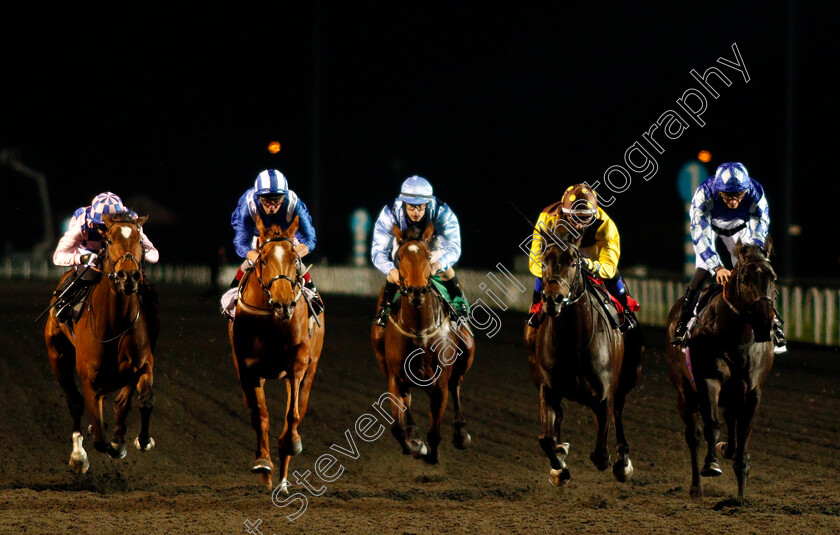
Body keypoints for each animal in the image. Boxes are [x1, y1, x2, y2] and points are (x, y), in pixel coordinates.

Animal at [44, 213, 159, 474]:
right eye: (108, 240)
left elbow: (141, 401)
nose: (129, 276)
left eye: (139, 240)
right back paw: (78, 455)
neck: (115, 324)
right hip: (58, 356)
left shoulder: (143, 363)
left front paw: (140, 440)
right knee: (75, 402)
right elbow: (98, 438)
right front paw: (102, 441)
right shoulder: (89, 379)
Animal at [226, 216, 324, 492]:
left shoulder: (298, 363)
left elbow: (293, 414)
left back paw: (283, 479)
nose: (284, 305)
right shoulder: (248, 369)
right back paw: (270, 477)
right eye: (263, 259)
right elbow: (260, 416)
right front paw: (263, 463)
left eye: (294, 259)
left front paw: (291, 443)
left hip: (309, 372)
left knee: (298, 408)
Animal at [370, 222, 476, 464]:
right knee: (407, 399)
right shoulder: (395, 377)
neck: (420, 331)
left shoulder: (440, 384)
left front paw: (432, 452)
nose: (416, 291)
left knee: (456, 384)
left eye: (428, 255)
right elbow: (397, 425)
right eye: (400, 256)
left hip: (467, 352)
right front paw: (414, 443)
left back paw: (461, 434)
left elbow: (435, 430)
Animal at [524, 232, 644, 488]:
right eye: (545, 261)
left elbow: (600, 454)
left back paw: (623, 462)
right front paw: (559, 462)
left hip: (629, 376)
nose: (553, 299)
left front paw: (618, 463)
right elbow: (545, 439)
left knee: (618, 411)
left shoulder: (604, 394)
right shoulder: (548, 387)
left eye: (573, 262)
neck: (573, 343)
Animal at [668, 241, 776, 500]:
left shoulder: (752, 391)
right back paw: (696, 487)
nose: (765, 322)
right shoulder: (709, 380)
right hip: (685, 393)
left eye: (773, 278)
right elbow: (712, 425)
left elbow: (744, 433)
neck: (737, 339)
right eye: (744, 279)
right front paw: (711, 464)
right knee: (694, 435)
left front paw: (741, 490)